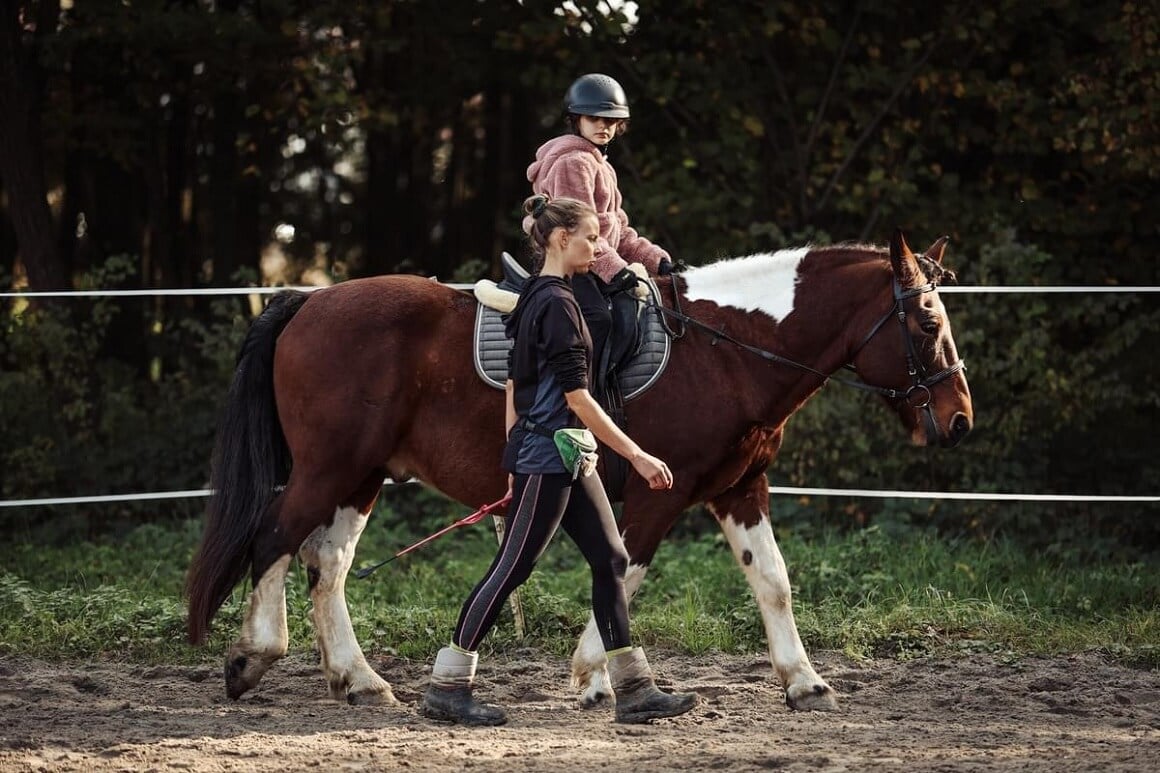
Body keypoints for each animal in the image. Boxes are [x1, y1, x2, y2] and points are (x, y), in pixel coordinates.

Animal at [185, 227, 974, 710]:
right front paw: (593, 676)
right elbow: (627, 573)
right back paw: (254, 657)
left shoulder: (738, 489)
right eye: (928, 322)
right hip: (329, 468)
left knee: (328, 563)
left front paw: (805, 683)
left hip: (362, 475)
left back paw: (360, 682)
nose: (960, 418)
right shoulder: (662, 492)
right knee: (273, 540)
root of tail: (309, 300)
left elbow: (773, 582)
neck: (728, 350)